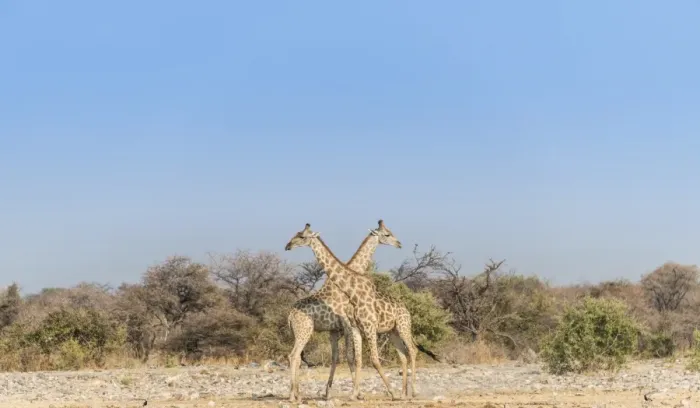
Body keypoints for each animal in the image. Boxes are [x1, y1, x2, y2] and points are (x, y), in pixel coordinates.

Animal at [284, 223, 396, 402]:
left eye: (300, 235)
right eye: (387, 234)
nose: (288, 246)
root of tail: (290, 315)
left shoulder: (334, 330)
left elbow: (336, 357)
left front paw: (328, 392)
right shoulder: (346, 325)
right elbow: (350, 357)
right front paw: (358, 393)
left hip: (298, 332)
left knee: (296, 357)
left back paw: (293, 394)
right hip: (305, 331)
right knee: (293, 356)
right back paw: (296, 396)